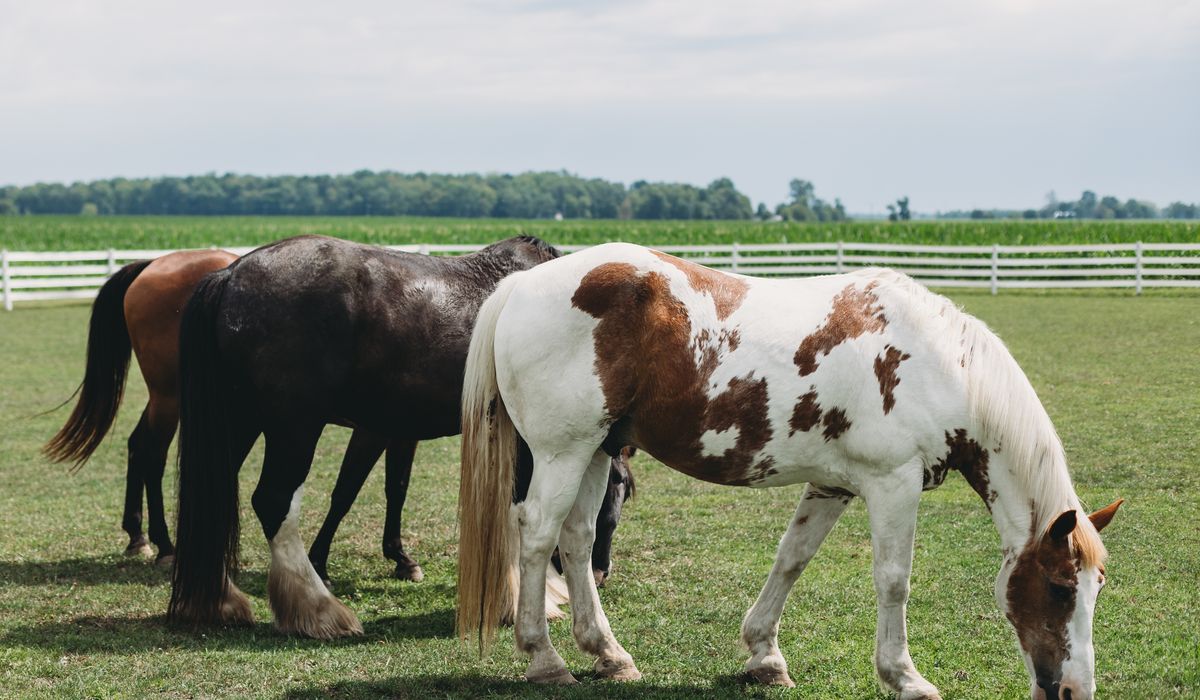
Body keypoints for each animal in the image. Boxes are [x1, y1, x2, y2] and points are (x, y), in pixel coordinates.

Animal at [166, 234, 634, 639]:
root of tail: (231, 274)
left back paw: (219, 602)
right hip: (294, 426)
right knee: (273, 501)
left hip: (240, 421)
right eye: (618, 489)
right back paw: (319, 611)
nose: (600, 573)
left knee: (213, 491)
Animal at [456, 242, 1122, 699]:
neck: (937, 363)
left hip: (597, 449)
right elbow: (894, 580)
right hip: (563, 451)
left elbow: (791, 559)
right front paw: (904, 676)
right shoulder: (893, 484)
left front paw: (764, 656)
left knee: (576, 539)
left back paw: (609, 655)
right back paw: (545, 659)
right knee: (537, 534)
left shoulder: (831, 486)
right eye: (1061, 588)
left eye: (1096, 588)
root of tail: (519, 285)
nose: (1074, 691)